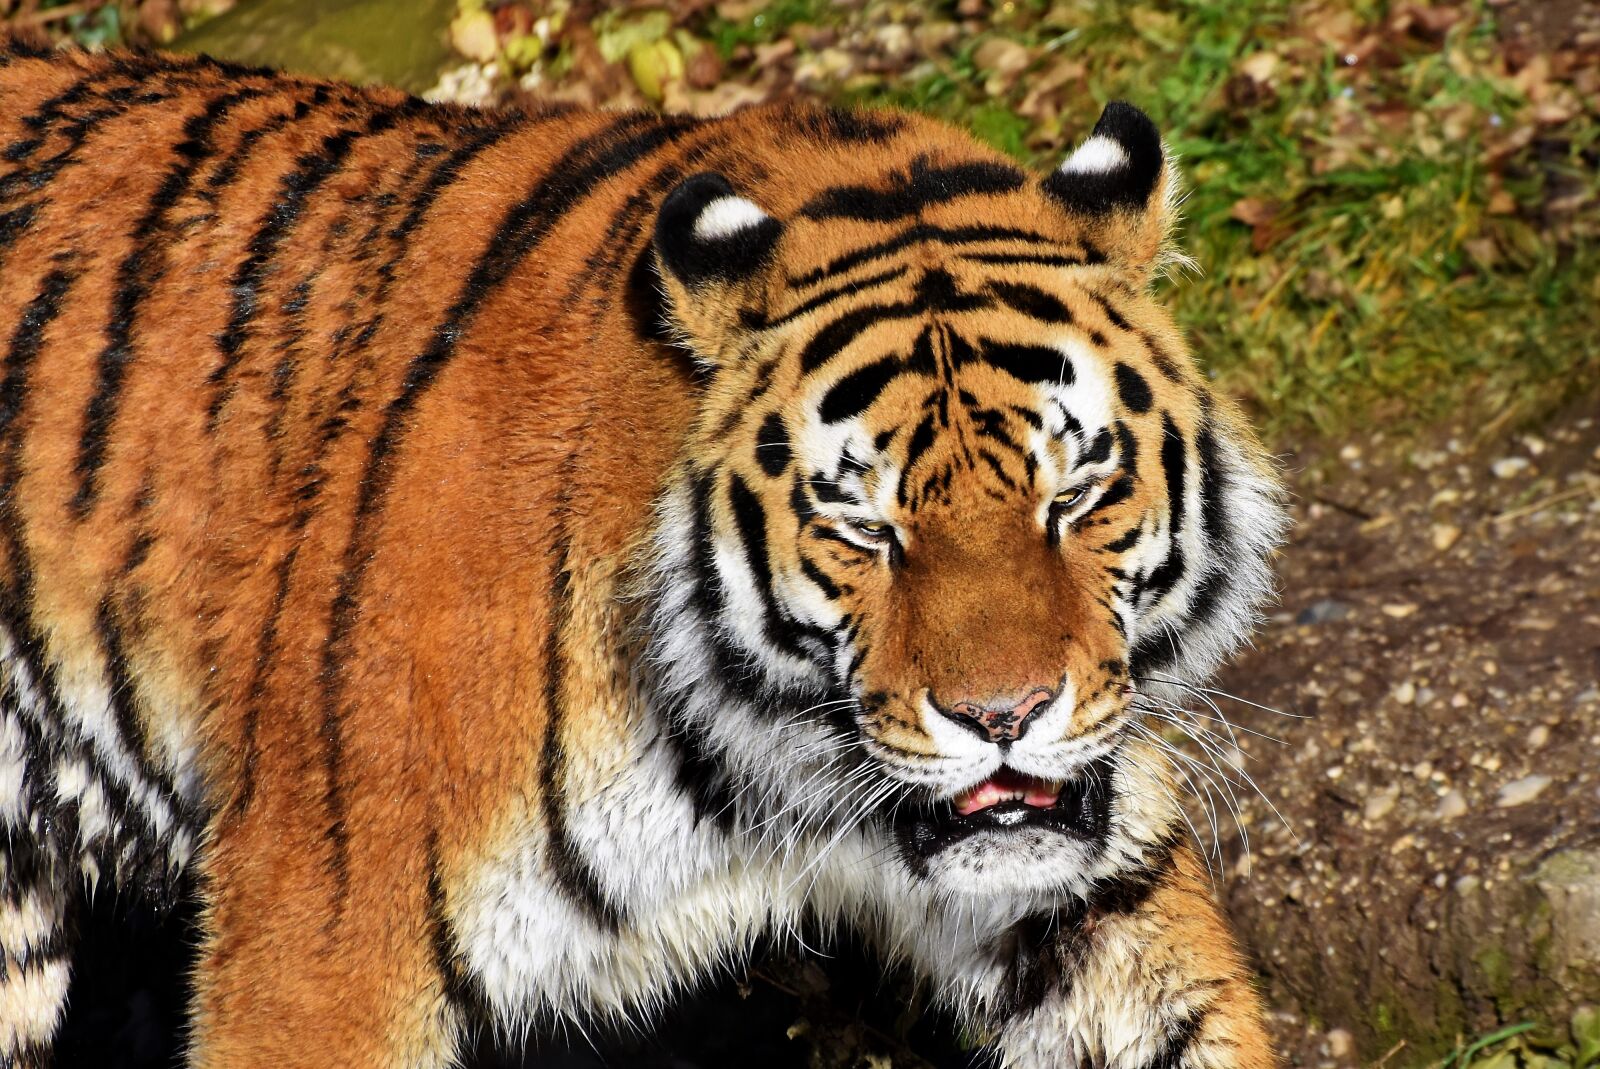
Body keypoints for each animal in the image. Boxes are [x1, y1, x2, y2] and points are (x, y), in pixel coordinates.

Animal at [0, 38, 1289, 1069]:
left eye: (1074, 493)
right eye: (863, 526)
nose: (1004, 716)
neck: (762, 772)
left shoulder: (1084, 902)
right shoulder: (318, 946)